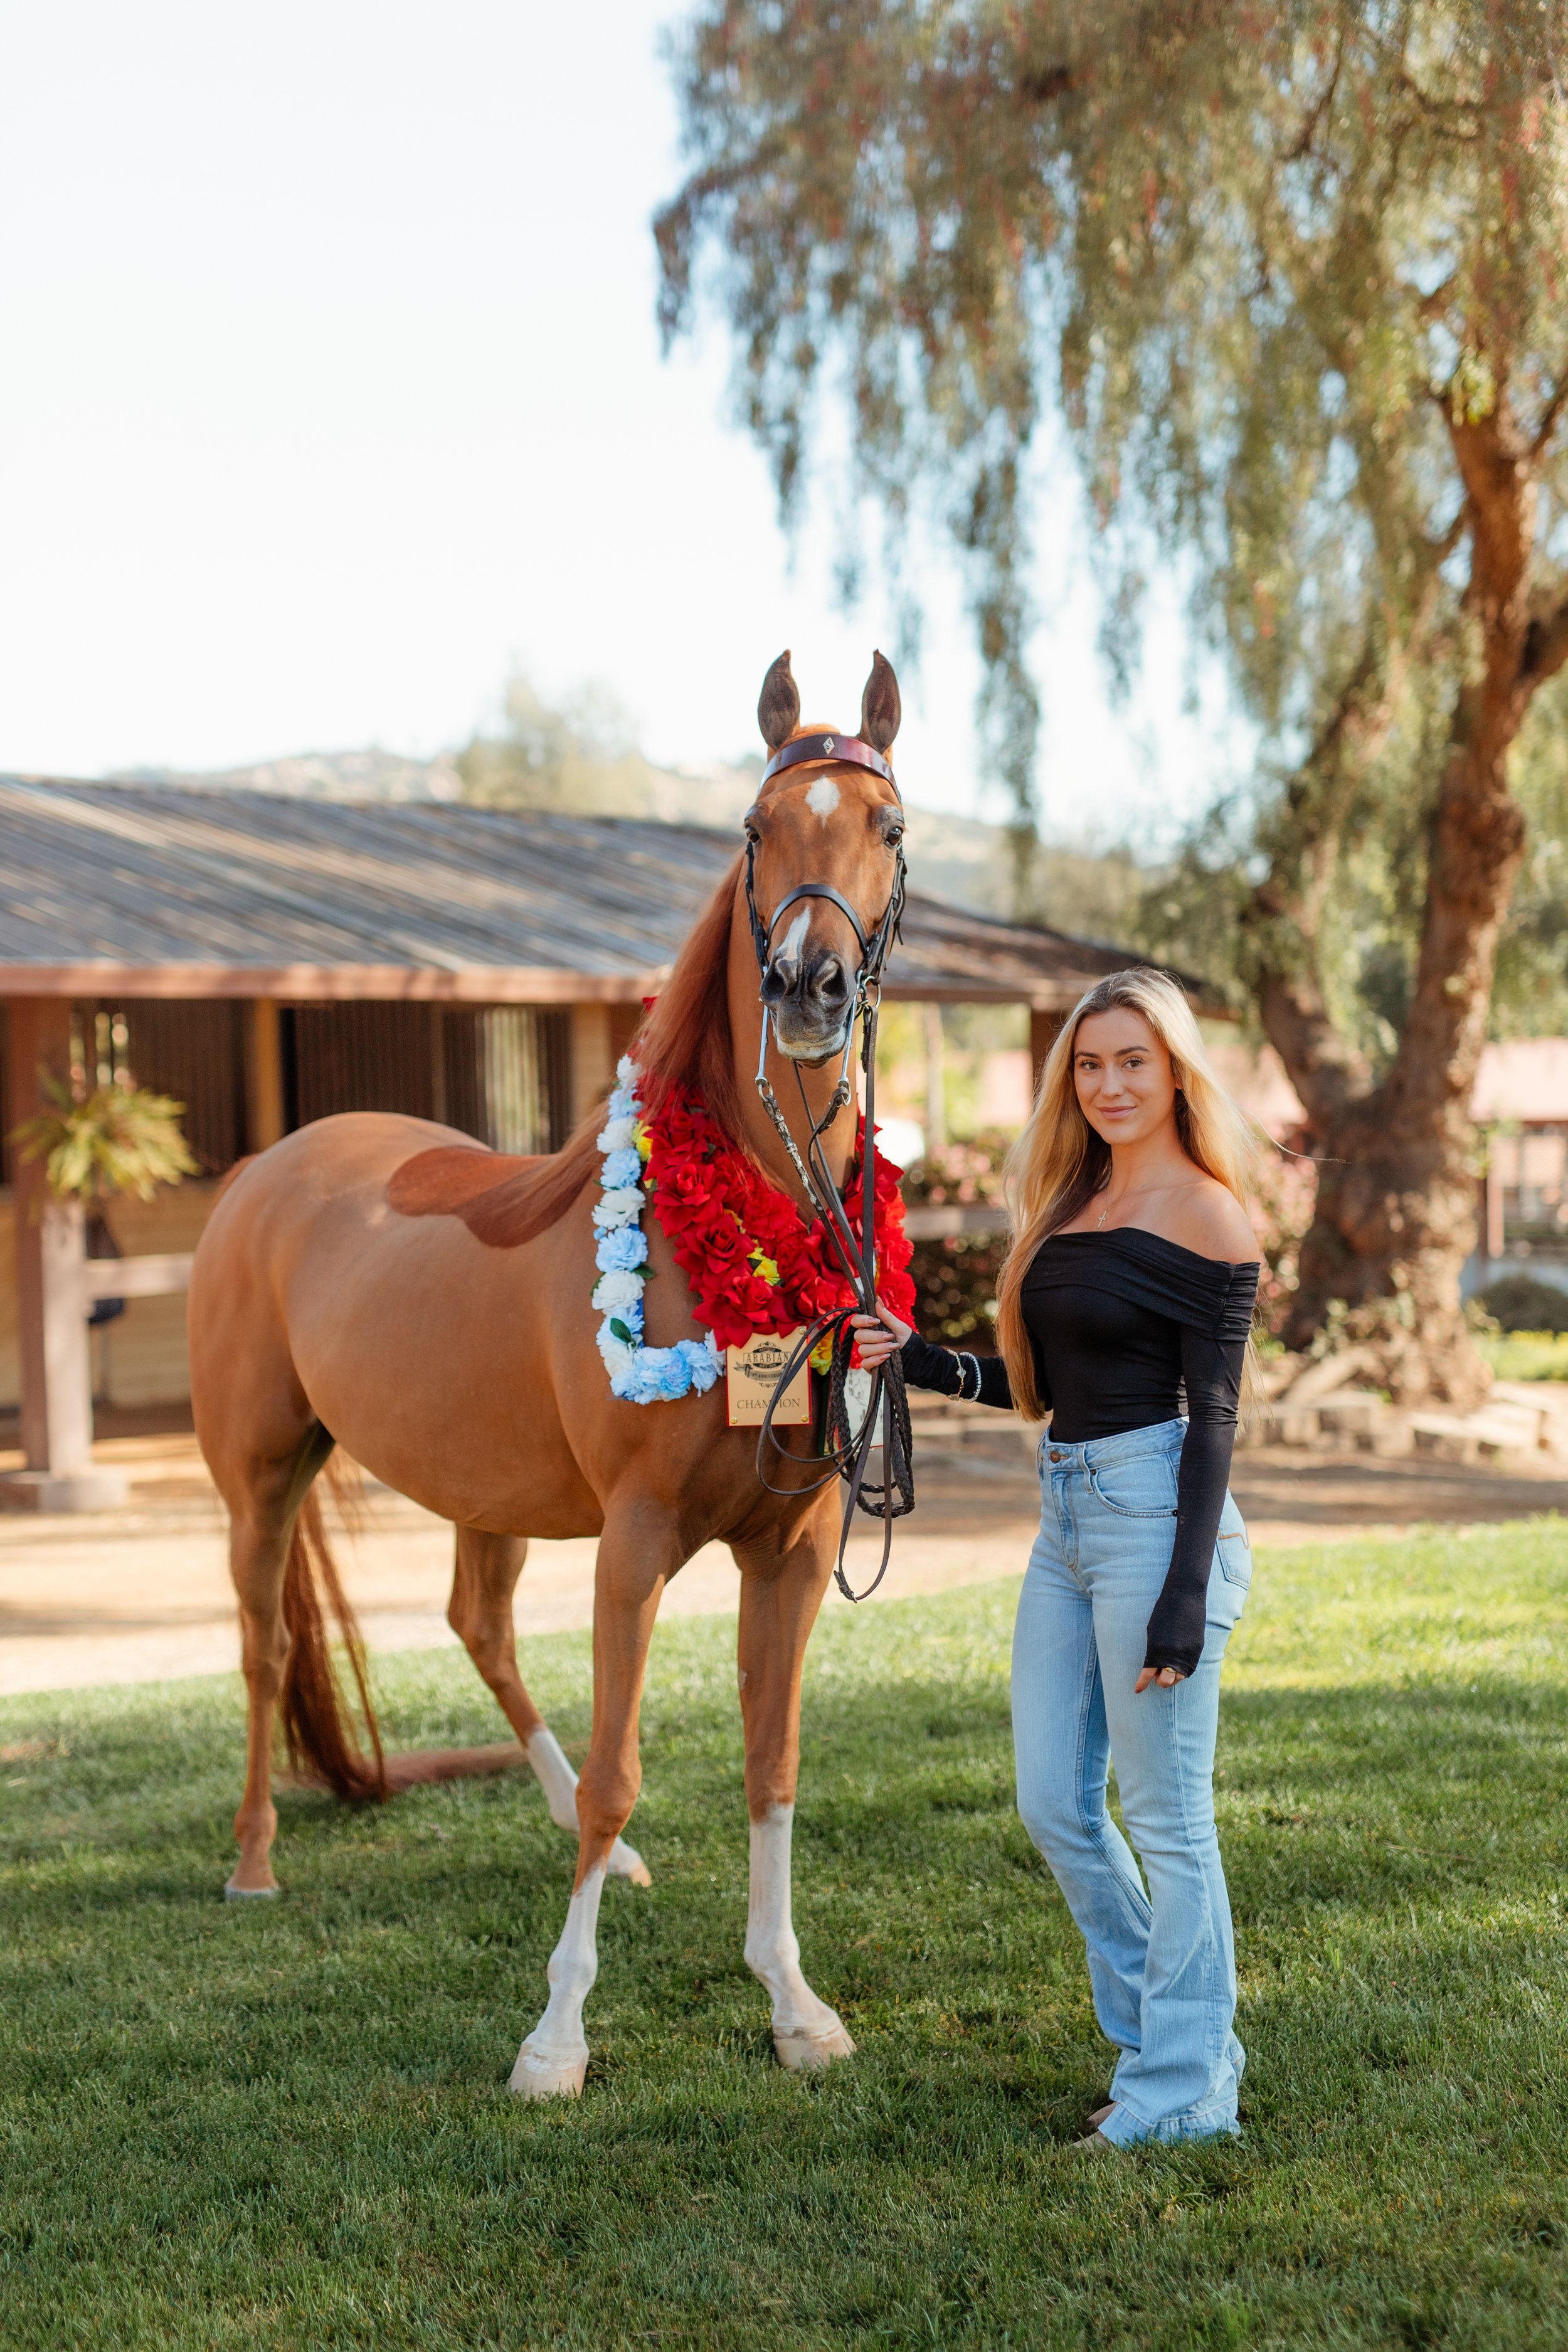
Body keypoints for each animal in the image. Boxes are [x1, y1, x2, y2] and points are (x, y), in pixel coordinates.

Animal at [187, 648, 909, 2097]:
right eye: (755, 830)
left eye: (889, 826)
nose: (809, 989)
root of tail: (264, 1173)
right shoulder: (634, 1541)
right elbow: (628, 1764)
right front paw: (555, 2038)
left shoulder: (791, 1552)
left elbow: (772, 1762)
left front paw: (794, 2005)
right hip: (259, 1481)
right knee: (263, 1646)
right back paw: (253, 1863)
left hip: (487, 1495)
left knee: (477, 1627)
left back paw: (604, 1855)